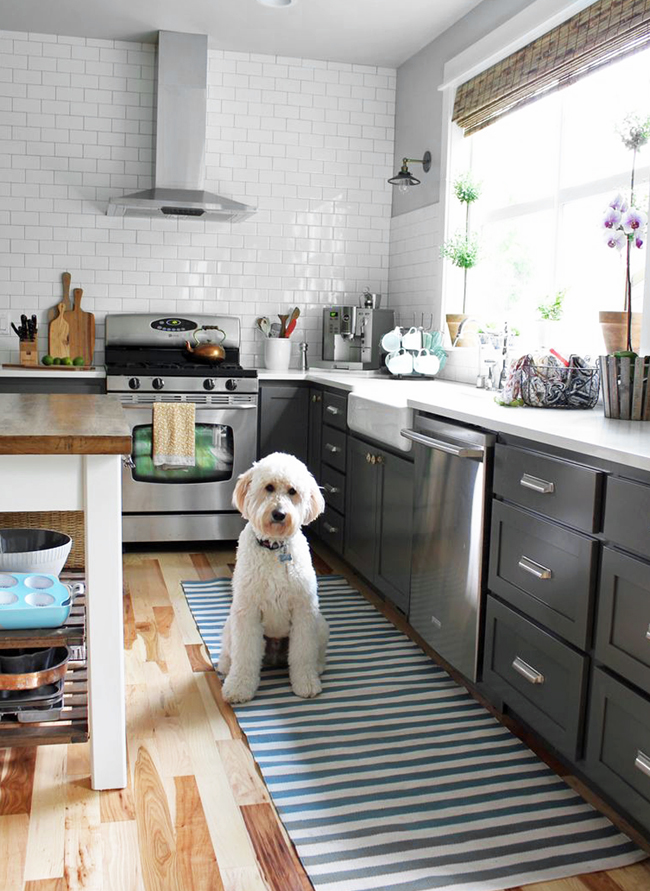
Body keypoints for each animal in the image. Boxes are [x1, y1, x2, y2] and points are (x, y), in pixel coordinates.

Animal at [219, 452, 330, 704]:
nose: (279, 514)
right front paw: (239, 687)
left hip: (320, 624)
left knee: (314, 653)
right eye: (269, 487)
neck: (274, 548)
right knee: (231, 653)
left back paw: (317, 668)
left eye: (292, 491)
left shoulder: (303, 612)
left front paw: (306, 682)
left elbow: (303, 654)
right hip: (231, 625)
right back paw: (225, 667)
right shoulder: (247, 612)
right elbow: (245, 655)